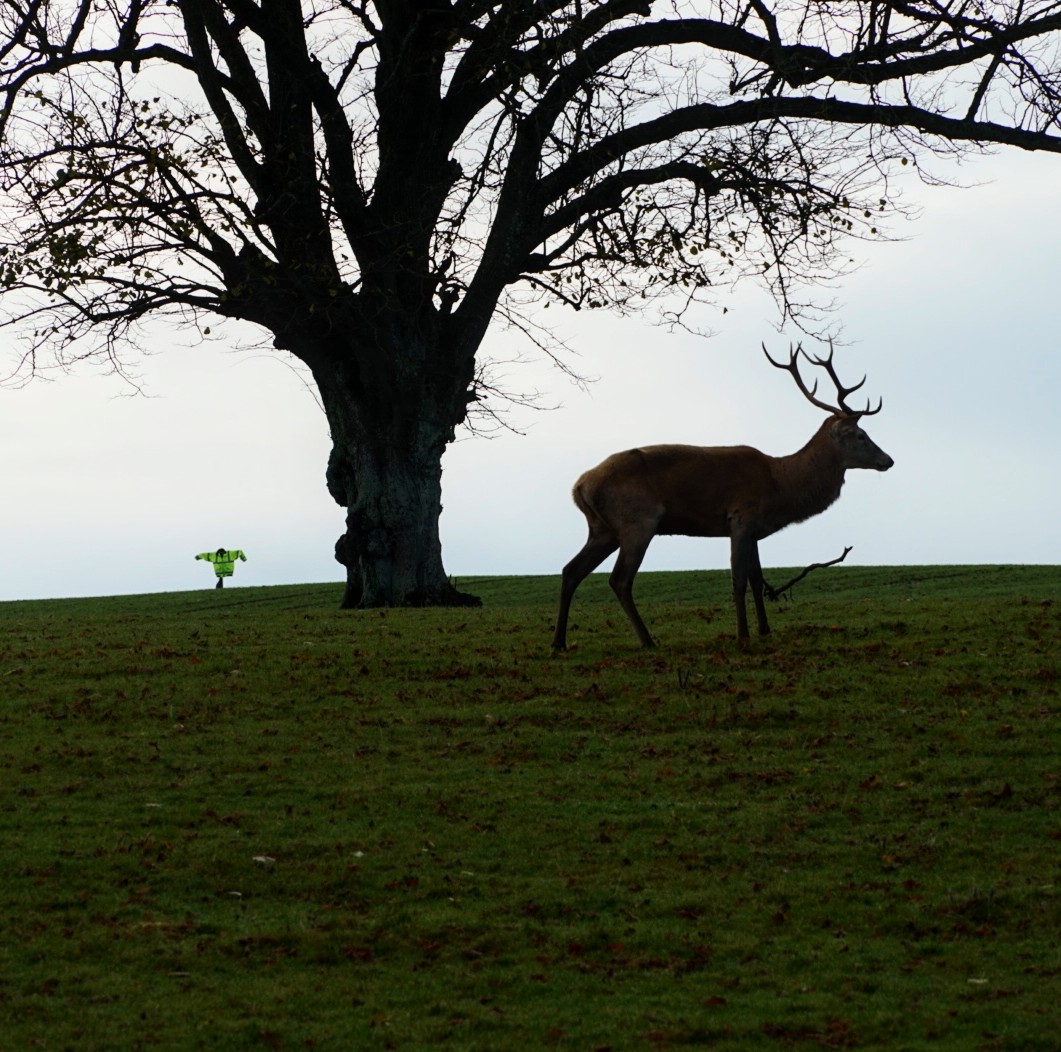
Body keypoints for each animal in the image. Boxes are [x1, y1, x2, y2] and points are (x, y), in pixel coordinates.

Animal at [551, 343, 894, 650]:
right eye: (861, 436)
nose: (888, 460)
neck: (780, 486)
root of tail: (579, 486)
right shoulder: (740, 518)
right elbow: (738, 579)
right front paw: (743, 636)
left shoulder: (753, 530)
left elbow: (757, 577)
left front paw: (765, 630)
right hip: (638, 520)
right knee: (620, 579)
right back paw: (647, 640)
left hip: (602, 529)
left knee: (571, 570)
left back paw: (559, 642)